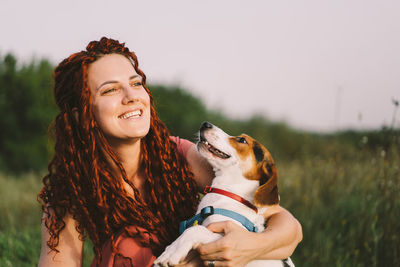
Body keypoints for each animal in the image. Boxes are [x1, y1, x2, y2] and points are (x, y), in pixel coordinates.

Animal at [155, 122, 296, 266]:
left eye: (242, 140)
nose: (205, 124)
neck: (225, 193)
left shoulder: (223, 238)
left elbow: (194, 230)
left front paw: (171, 253)